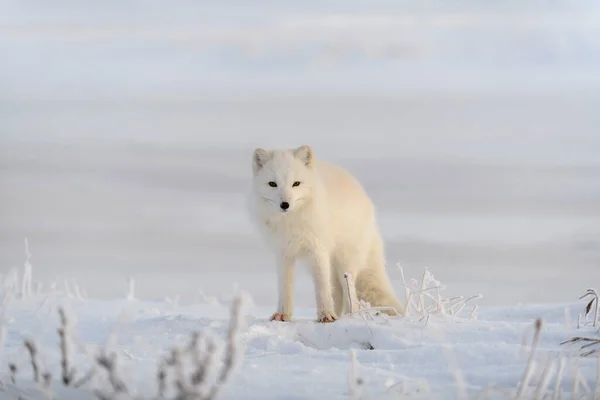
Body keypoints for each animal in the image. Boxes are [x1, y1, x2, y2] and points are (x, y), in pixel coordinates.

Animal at [246, 145, 406, 324]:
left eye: (296, 184)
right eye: (272, 184)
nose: (285, 204)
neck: (291, 223)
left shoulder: (318, 250)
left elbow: (322, 286)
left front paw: (326, 315)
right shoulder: (284, 253)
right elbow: (285, 287)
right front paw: (282, 315)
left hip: (345, 261)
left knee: (348, 291)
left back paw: (350, 316)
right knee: (336, 290)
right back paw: (339, 314)